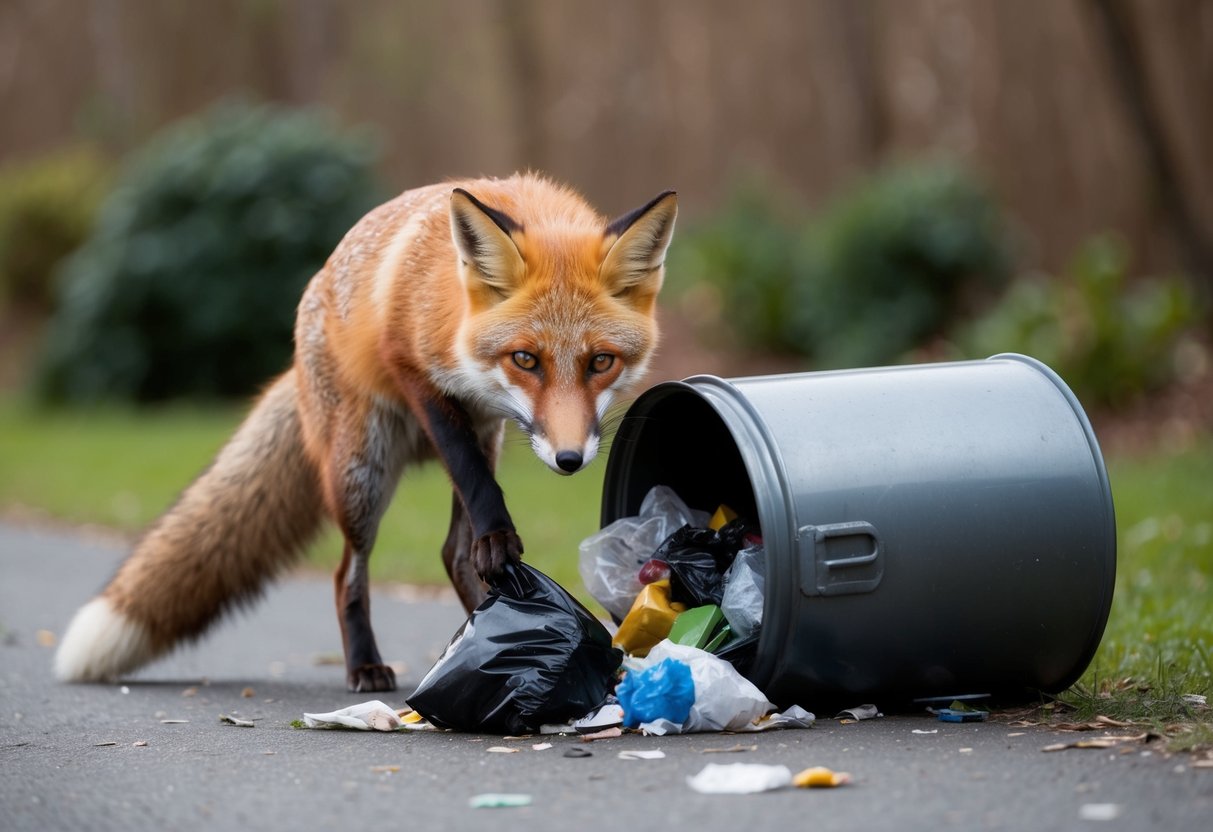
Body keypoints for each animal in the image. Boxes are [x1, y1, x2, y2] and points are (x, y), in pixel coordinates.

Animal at [54, 173, 677, 692]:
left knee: (453, 554)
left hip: (481, 439)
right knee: (344, 574)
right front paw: (500, 539)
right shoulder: (413, 368)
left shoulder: (481, 418)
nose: (570, 459)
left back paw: (495, 634)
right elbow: (475, 483)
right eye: (526, 359)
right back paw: (367, 665)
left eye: (600, 363)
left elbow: (472, 520)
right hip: (360, 475)